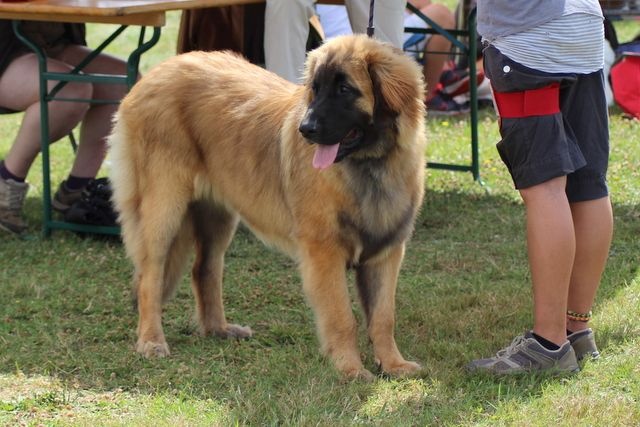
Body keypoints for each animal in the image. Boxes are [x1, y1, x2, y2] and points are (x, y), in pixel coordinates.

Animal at [108, 34, 427, 380]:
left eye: (344, 89)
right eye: (316, 88)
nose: (306, 129)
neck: (369, 166)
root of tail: (156, 72)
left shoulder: (385, 253)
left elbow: (383, 317)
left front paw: (393, 364)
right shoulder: (324, 253)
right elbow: (342, 317)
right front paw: (350, 369)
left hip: (217, 216)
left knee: (204, 269)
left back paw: (219, 329)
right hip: (163, 209)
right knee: (150, 277)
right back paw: (151, 340)